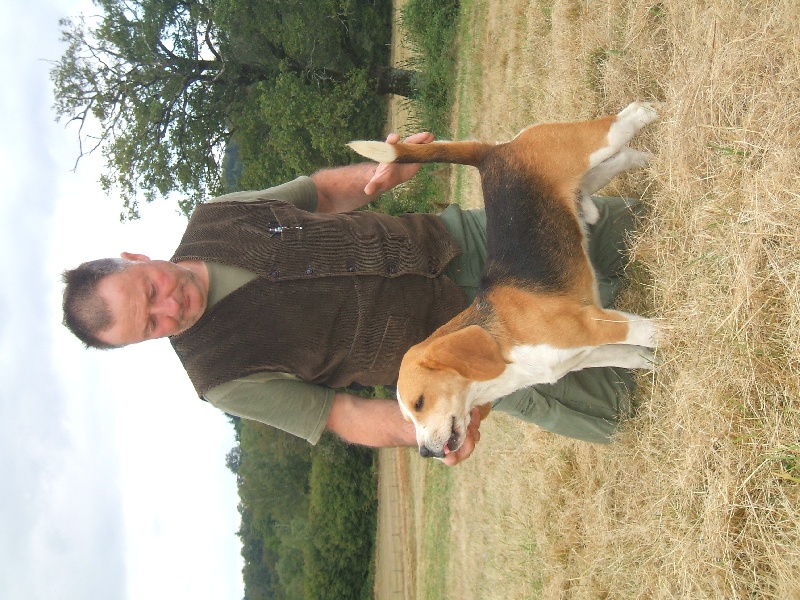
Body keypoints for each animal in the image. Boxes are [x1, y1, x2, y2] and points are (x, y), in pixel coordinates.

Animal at [346, 102, 660, 460]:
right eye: (407, 418)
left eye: (420, 403)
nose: (426, 452)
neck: (505, 349)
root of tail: (489, 155)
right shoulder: (585, 354)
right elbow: (631, 355)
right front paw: (653, 363)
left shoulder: (596, 325)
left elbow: (655, 332)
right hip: (578, 184)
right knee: (613, 165)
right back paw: (646, 160)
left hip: (588, 146)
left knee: (621, 124)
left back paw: (647, 114)